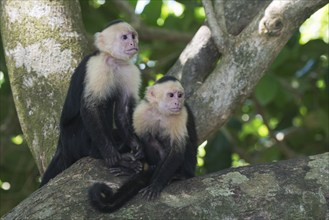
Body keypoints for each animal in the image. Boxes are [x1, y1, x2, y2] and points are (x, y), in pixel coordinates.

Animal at [39, 19, 141, 186]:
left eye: (133, 36)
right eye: (124, 37)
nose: (133, 43)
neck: (114, 60)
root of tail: (61, 145)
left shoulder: (129, 71)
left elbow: (123, 109)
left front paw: (135, 144)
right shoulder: (97, 66)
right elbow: (90, 107)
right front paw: (110, 154)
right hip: (73, 139)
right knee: (102, 105)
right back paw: (102, 153)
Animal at [88, 76, 197, 213]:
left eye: (180, 95)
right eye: (171, 95)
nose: (177, 102)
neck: (160, 112)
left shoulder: (181, 115)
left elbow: (176, 151)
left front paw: (155, 184)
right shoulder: (141, 111)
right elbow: (138, 139)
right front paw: (131, 167)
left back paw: (180, 176)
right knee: (148, 138)